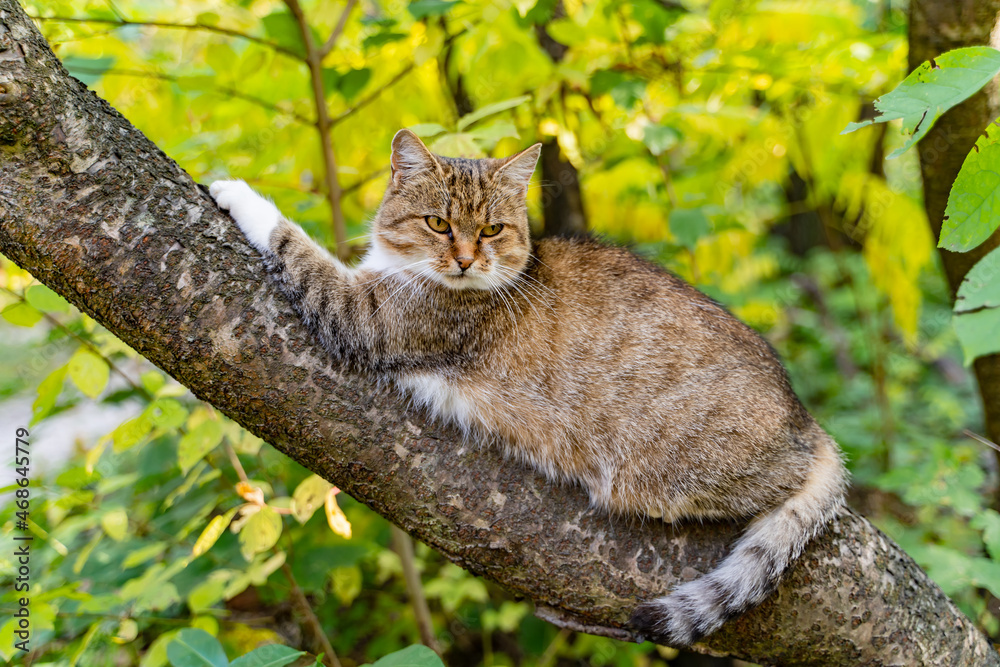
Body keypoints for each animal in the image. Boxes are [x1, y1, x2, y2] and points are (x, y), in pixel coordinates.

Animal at [209, 129, 844, 648]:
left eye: (491, 228)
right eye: (438, 223)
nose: (465, 260)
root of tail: (805, 420)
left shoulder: (366, 318)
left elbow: (296, 243)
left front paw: (236, 190)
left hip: (669, 472)